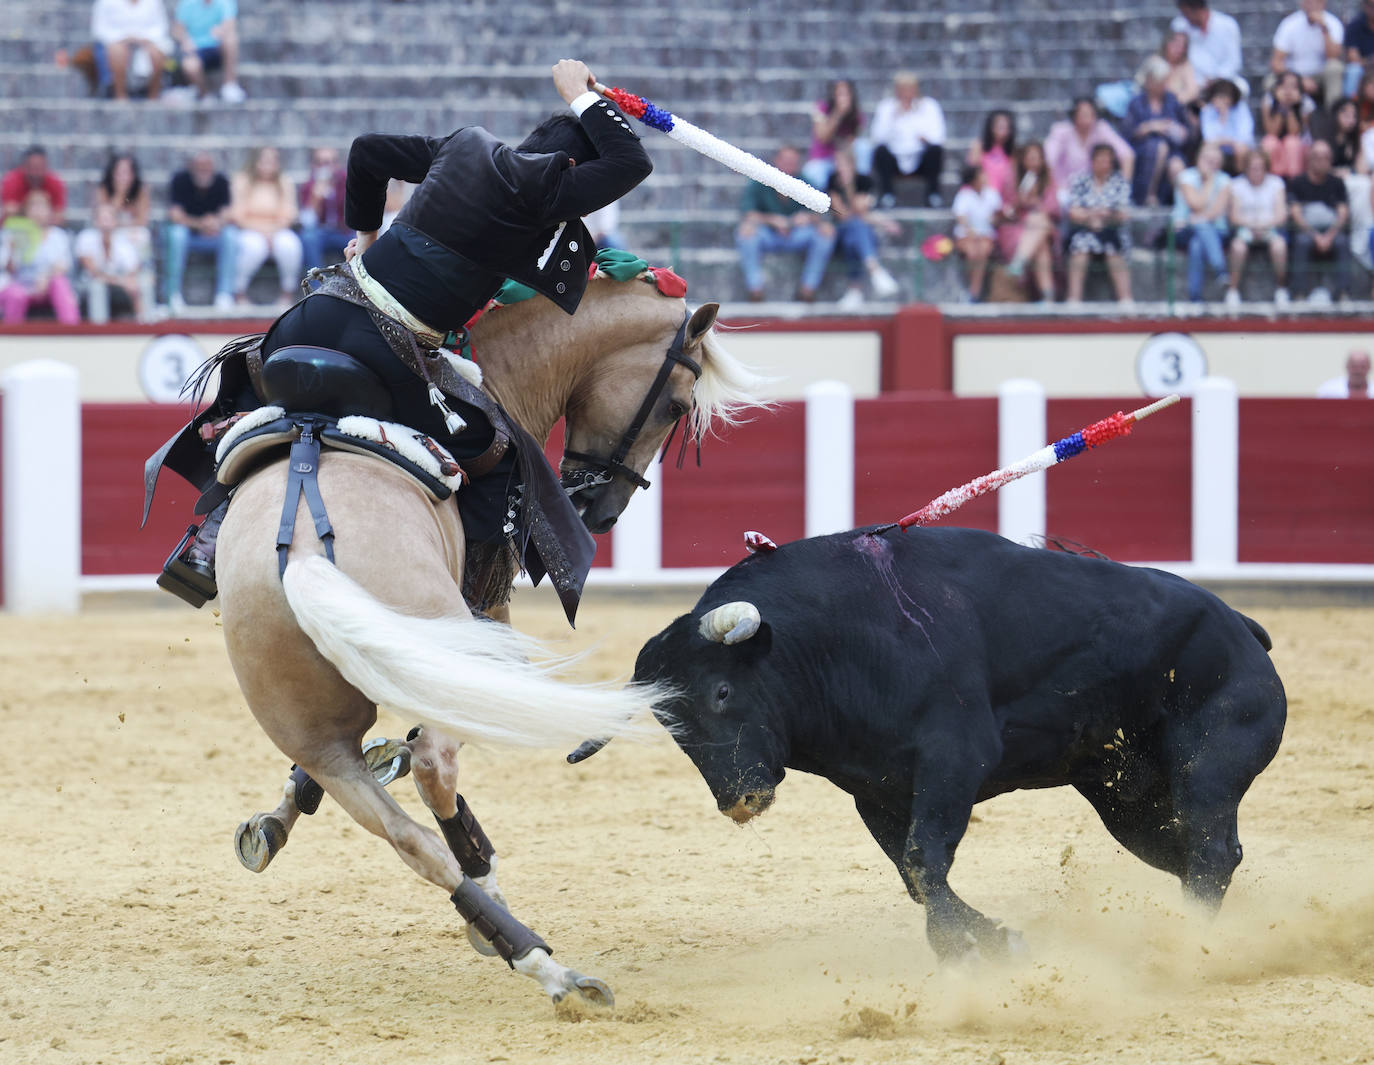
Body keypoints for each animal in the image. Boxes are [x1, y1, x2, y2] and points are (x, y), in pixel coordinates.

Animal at [218, 274, 769, 1005]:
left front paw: (275, 820)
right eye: (675, 403)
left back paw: (522, 946)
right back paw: (529, 939)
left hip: (305, 722)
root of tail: (305, 555)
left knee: (408, 835)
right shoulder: (488, 611)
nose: (599, 508)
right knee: (435, 770)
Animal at [568, 527, 1286, 961]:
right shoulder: (877, 792)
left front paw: (972, 947)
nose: (740, 800)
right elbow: (916, 874)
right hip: (1126, 799)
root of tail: (1240, 623)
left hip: (1210, 760)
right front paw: (992, 941)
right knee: (1190, 852)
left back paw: (1190, 947)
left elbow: (923, 859)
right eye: (670, 724)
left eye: (721, 691)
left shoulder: (953, 760)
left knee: (1211, 847)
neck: (833, 641)